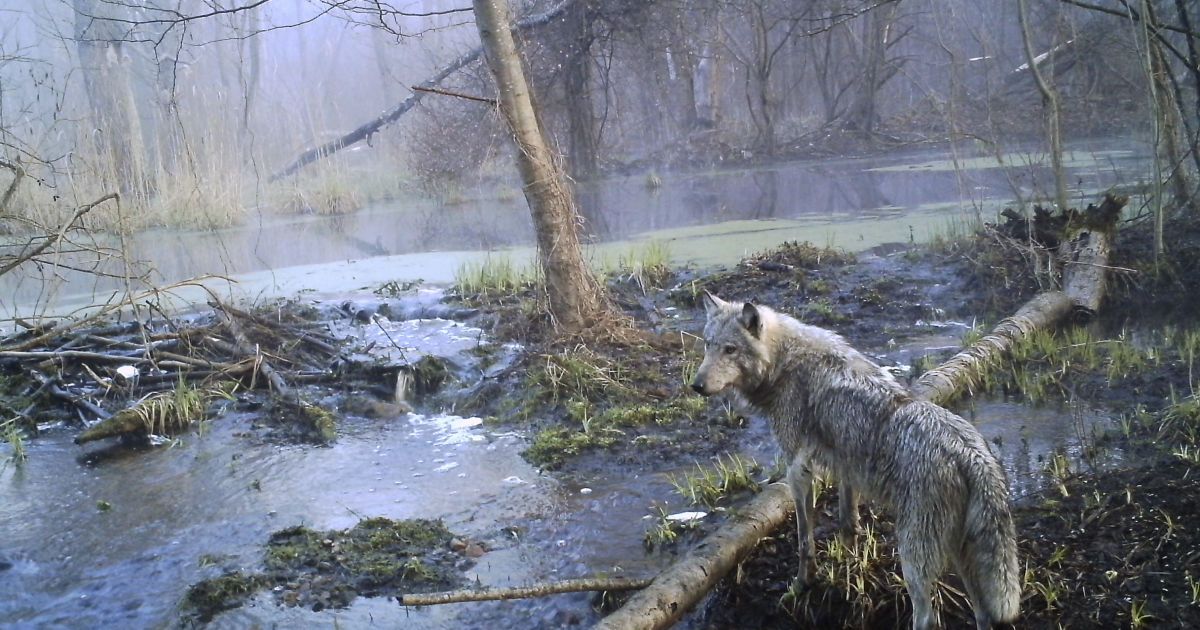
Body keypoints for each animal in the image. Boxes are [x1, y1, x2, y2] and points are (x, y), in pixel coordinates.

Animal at [691, 292, 1019, 630]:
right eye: (708, 344)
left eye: (730, 349)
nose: (696, 385)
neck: (784, 363)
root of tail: (971, 454)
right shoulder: (846, 468)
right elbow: (847, 523)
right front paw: (847, 571)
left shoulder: (798, 471)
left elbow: (804, 540)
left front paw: (801, 585)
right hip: (961, 556)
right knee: (982, 613)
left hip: (914, 559)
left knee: (927, 617)